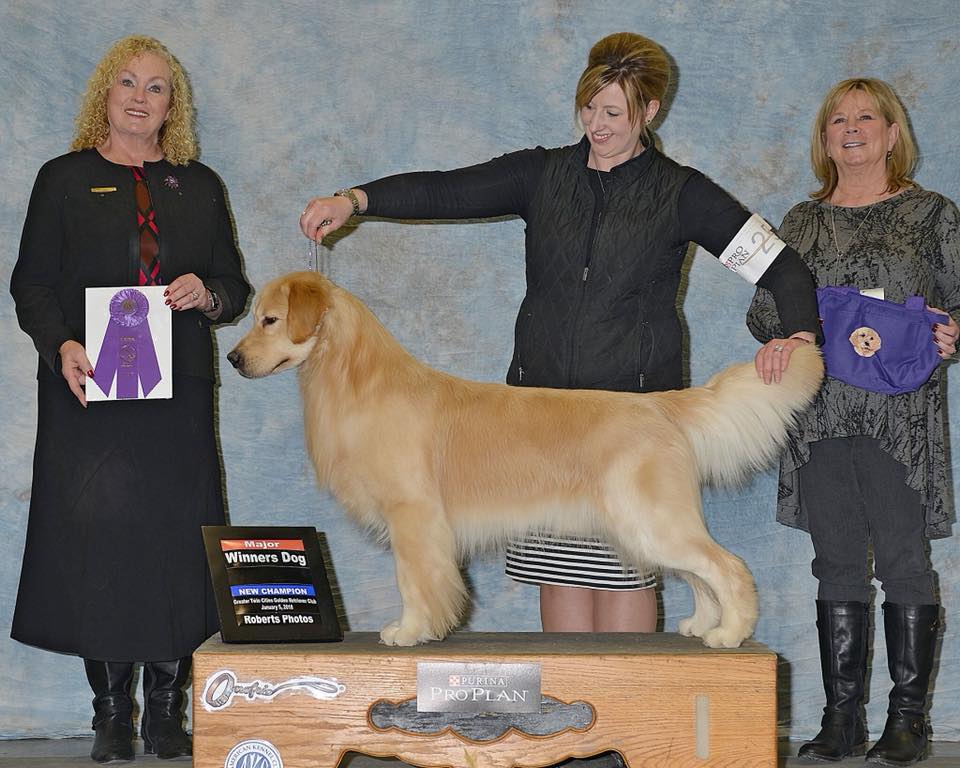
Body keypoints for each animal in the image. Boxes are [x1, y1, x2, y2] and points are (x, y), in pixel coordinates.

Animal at [228, 271, 823, 648]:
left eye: (270, 320)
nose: (232, 359)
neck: (354, 378)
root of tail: (658, 404)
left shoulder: (413, 516)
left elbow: (413, 581)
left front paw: (410, 630)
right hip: (647, 526)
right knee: (699, 575)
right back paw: (702, 625)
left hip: (651, 519)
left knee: (727, 567)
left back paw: (732, 632)